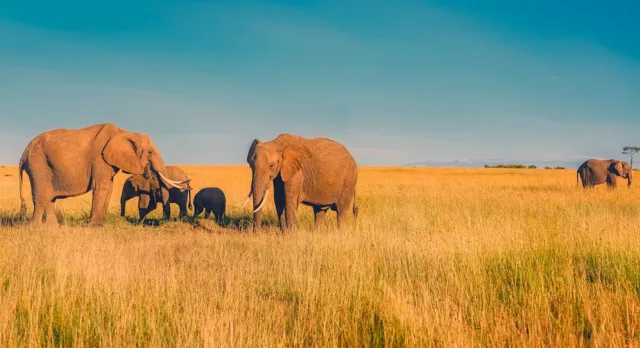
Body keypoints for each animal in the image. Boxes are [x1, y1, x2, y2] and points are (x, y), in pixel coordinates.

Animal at [17, 123, 190, 227]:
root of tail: (24, 152)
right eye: (150, 152)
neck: (126, 133)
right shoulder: (99, 158)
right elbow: (103, 187)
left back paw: (54, 228)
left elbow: (109, 187)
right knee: (42, 196)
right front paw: (94, 226)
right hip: (38, 164)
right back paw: (37, 229)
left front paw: (100, 224)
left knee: (49, 198)